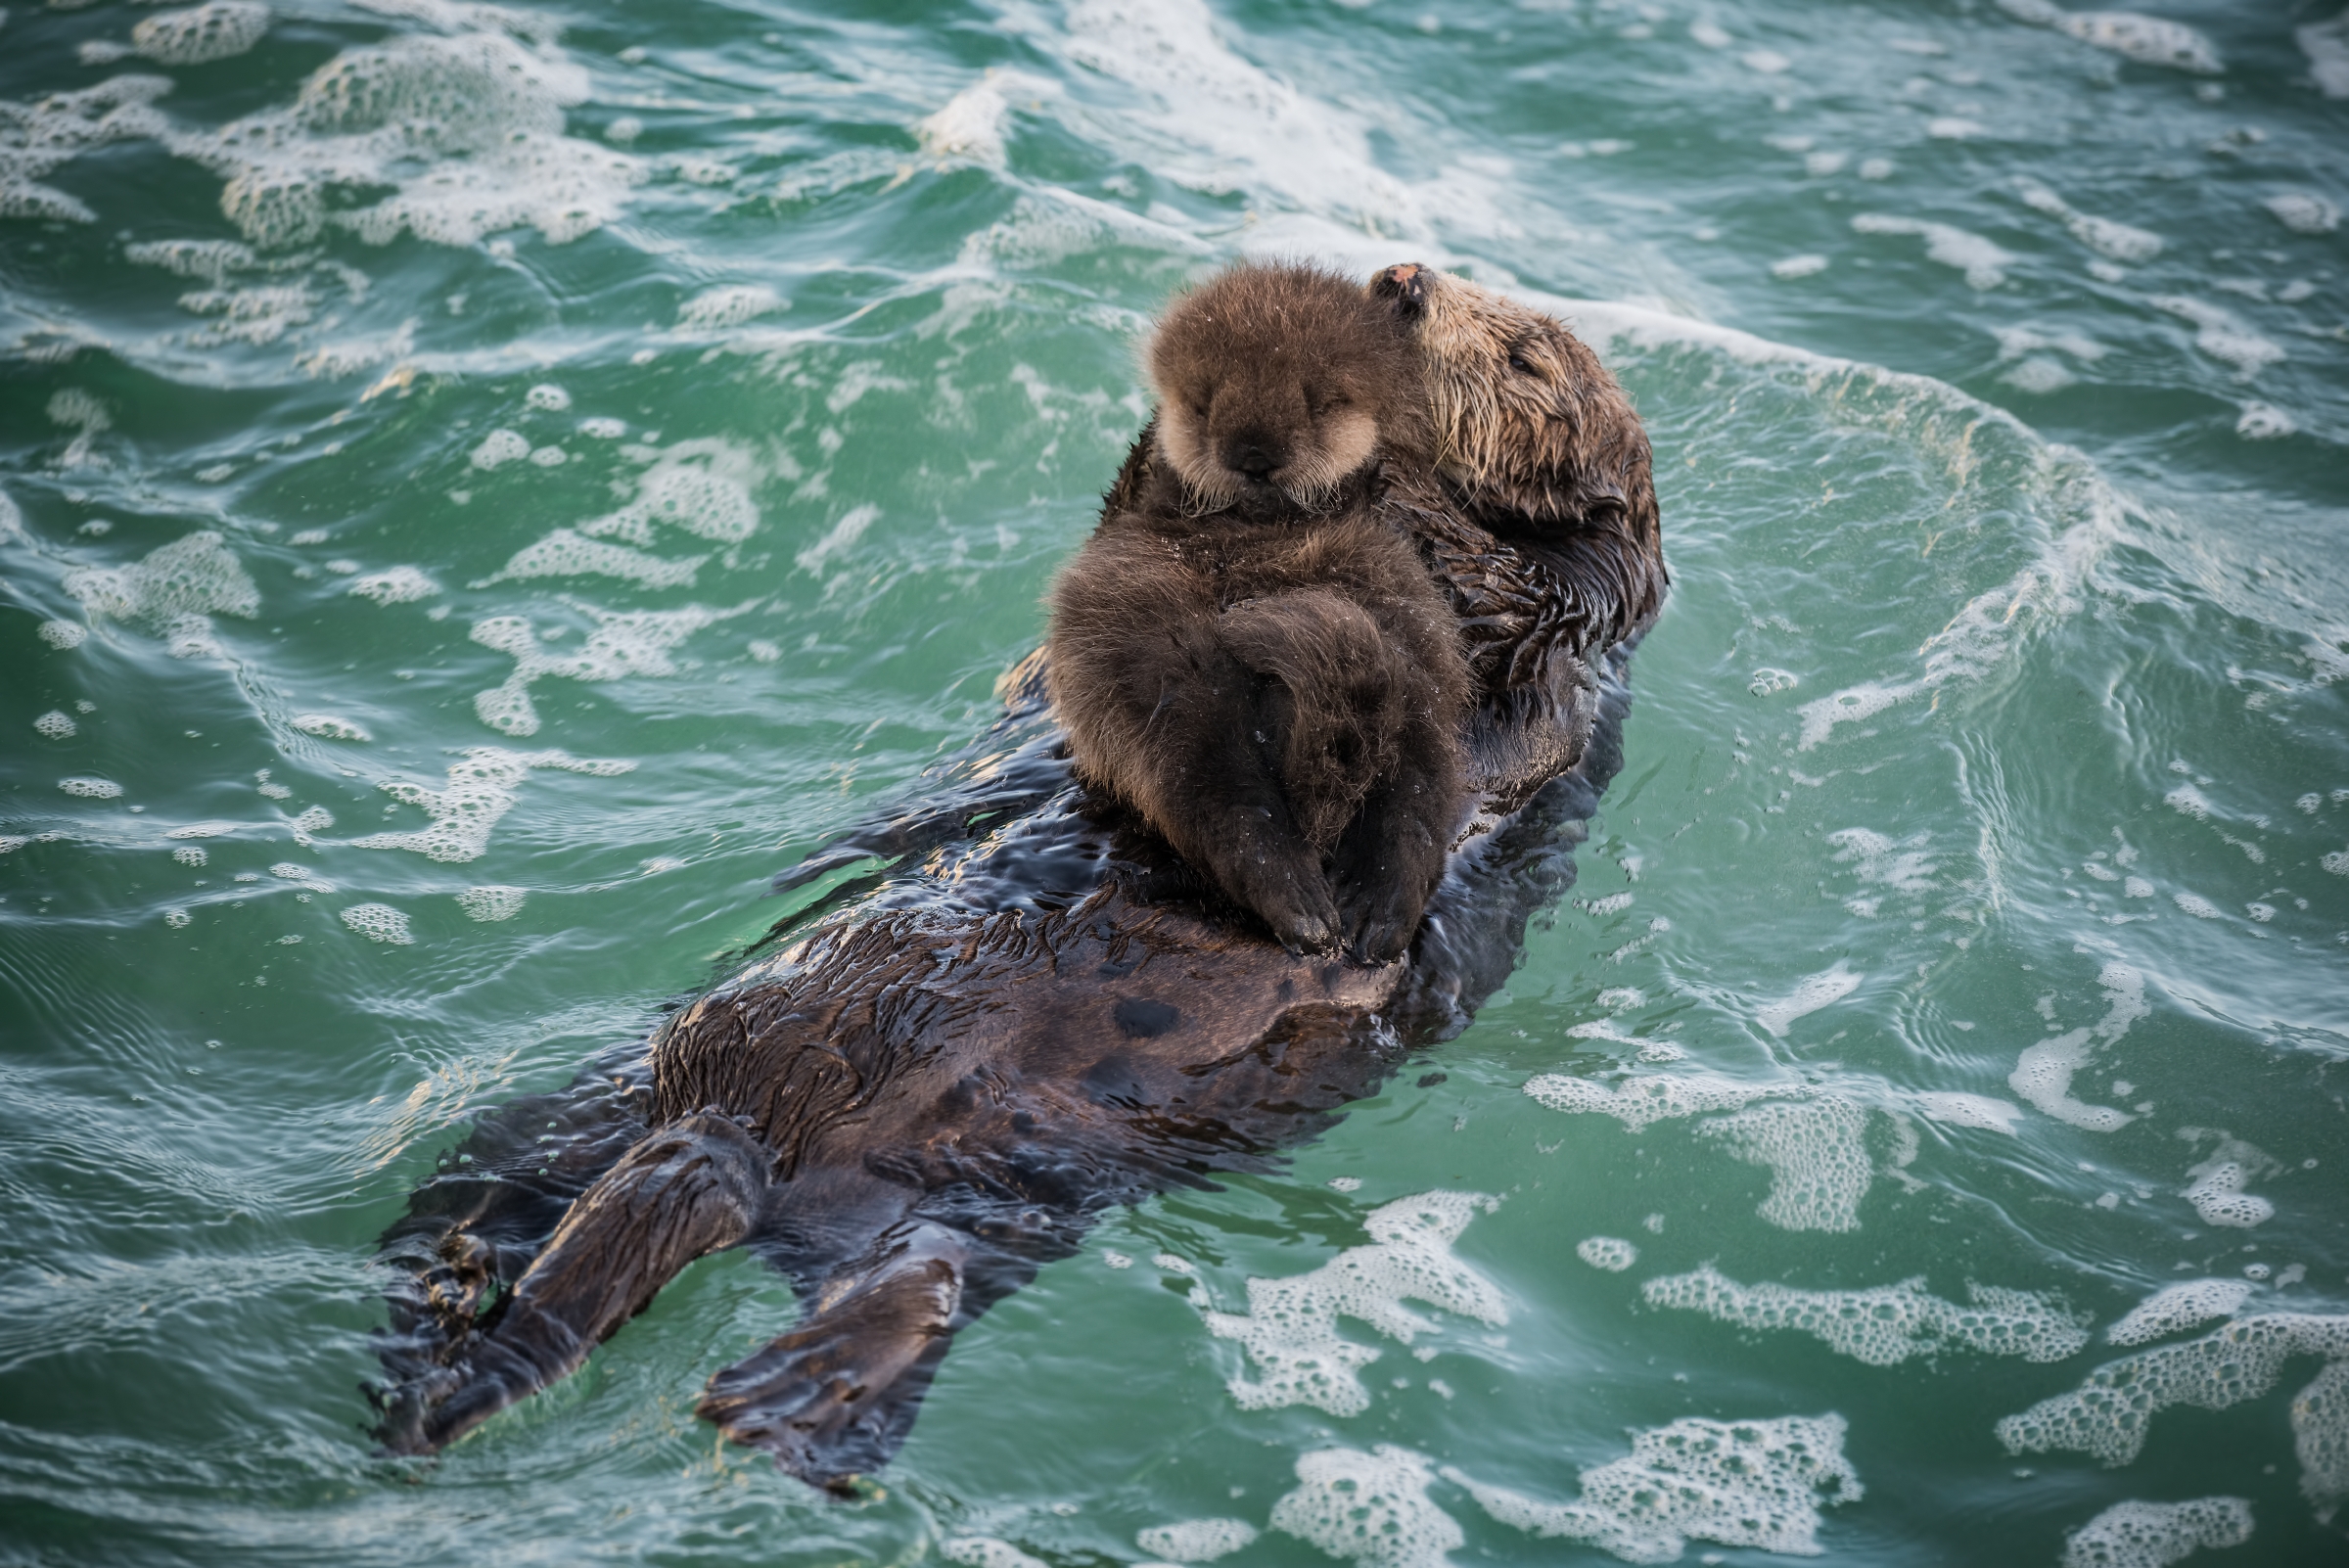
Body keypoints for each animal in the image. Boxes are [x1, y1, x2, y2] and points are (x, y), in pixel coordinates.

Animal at [1047, 260, 1465, 957]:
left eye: (1321, 401)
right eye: (1201, 401)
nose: (1254, 455)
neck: (1256, 531)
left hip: (1409, 657)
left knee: (1409, 790)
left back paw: (1369, 907)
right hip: (1163, 674)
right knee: (1226, 793)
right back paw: (1317, 904)